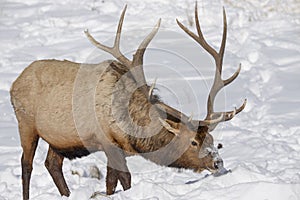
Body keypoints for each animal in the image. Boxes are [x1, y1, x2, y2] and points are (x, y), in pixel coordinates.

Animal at [11, 3, 246, 200]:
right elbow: (123, 180)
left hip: (59, 139)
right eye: (193, 142)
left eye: (212, 139)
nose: (217, 162)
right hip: (26, 124)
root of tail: (15, 83)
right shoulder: (107, 142)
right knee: (27, 165)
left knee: (52, 164)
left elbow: (111, 182)